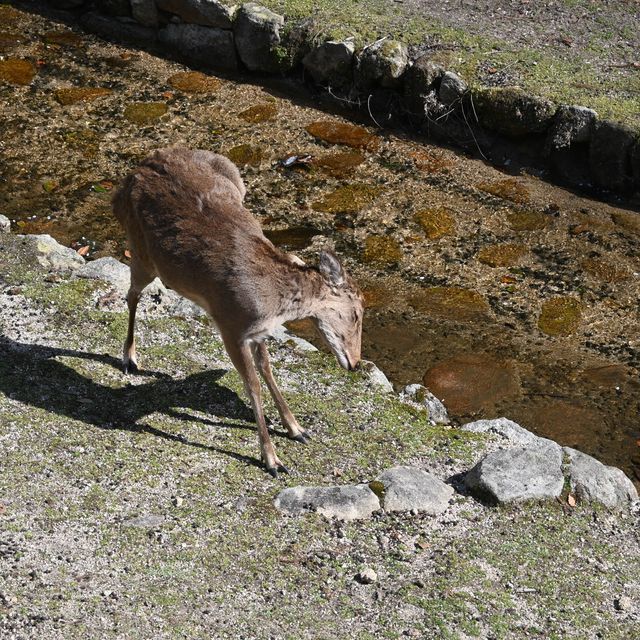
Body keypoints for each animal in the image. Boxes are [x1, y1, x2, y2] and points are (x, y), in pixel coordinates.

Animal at [112, 145, 362, 476]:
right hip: (141, 252)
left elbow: (267, 369)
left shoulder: (258, 331)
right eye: (357, 313)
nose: (356, 363)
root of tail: (128, 178)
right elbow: (252, 385)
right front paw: (272, 460)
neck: (272, 304)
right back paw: (129, 358)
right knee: (132, 294)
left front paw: (297, 429)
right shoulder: (231, 325)